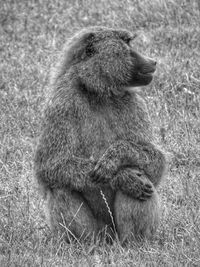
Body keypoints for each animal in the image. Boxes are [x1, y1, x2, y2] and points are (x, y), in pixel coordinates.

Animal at [34, 26, 166, 246]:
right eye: (127, 44)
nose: (153, 61)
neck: (97, 92)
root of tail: (110, 239)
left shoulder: (134, 103)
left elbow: (156, 163)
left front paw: (117, 156)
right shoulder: (61, 103)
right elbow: (50, 166)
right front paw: (122, 177)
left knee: (141, 174)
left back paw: (134, 245)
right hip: (99, 232)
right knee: (60, 187)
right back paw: (84, 246)